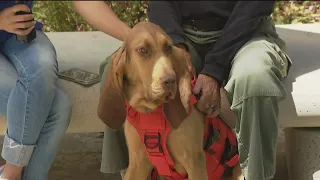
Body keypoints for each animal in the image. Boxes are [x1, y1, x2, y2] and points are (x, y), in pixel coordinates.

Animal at [97, 21, 242, 180]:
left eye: (168, 48)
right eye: (143, 50)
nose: (170, 81)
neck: (151, 111)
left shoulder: (195, 162)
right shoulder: (137, 164)